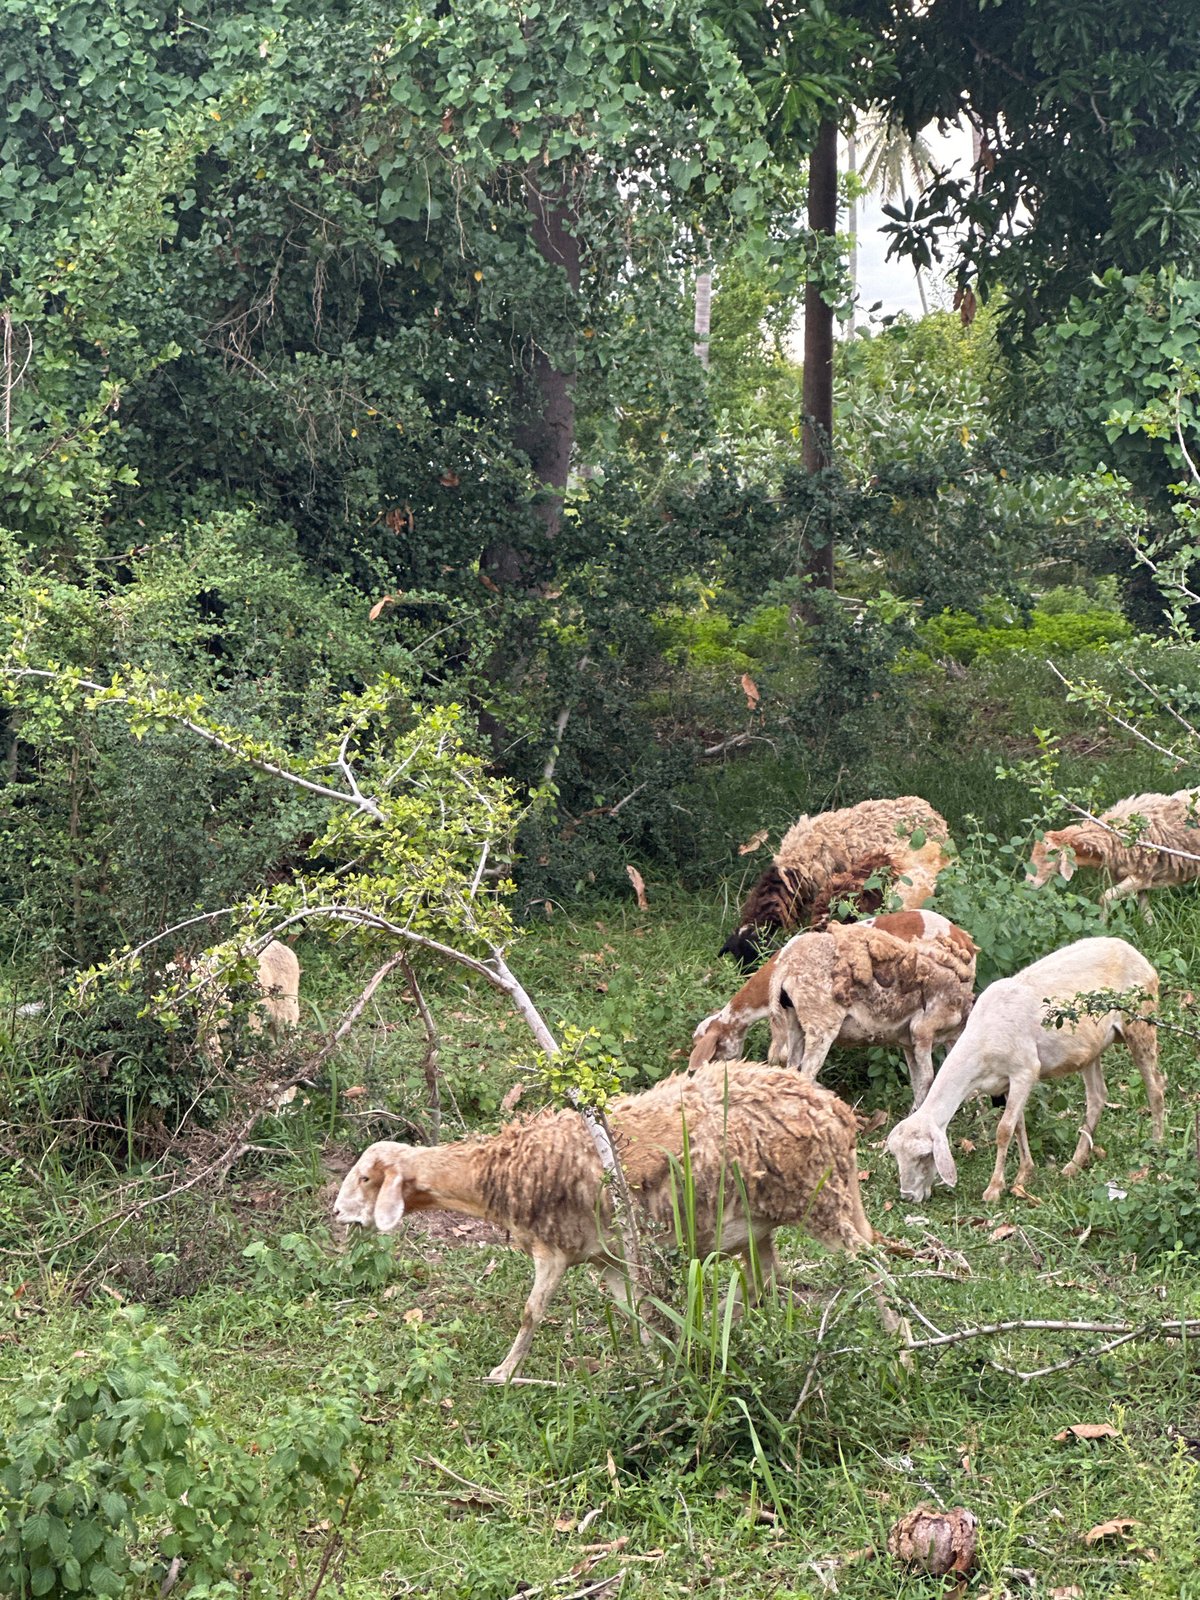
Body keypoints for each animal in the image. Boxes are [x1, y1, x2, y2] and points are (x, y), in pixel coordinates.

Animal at [333, 1060, 876, 1383]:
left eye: (365, 1178)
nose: (335, 1212)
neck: (500, 1170)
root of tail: (836, 1112)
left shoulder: (554, 1251)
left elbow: (531, 1313)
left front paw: (504, 1372)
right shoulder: (608, 1258)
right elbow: (634, 1314)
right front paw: (660, 1360)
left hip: (822, 1202)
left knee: (870, 1266)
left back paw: (892, 1341)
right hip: (766, 1221)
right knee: (766, 1283)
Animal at [767, 914, 977, 1107]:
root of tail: (785, 966)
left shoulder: (909, 1043)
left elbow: (918, 1085)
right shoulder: (923, 1030)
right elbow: (929, 1080)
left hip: (795, 1022)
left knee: (792, 1069)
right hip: (821, 1023)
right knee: (807, 1075)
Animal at [886, 936, 1163, 1206]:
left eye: (924, 1156)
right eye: (896, 1156)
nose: (908, 1196)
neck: (981, 1043)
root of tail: (1134, 951)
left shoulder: (1025, 1071)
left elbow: (1004, 1129)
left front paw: (994, 1189)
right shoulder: (1006, 1081)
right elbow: (1018, 1125)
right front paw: (1023, 1174)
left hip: (1140, 1021)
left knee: (1156, 1087)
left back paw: (1156, 1147)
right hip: (1090, 1049)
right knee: (1097, 1097)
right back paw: (1073, 1165)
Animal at [1028, 789, 1200, 917]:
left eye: (1053, 853)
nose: (1029, 881)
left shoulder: (1141, 875)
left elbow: (1105, 898)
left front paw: (1101, 926)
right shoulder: (1141, 878)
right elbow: (1144, 906)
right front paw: (1151, 930)